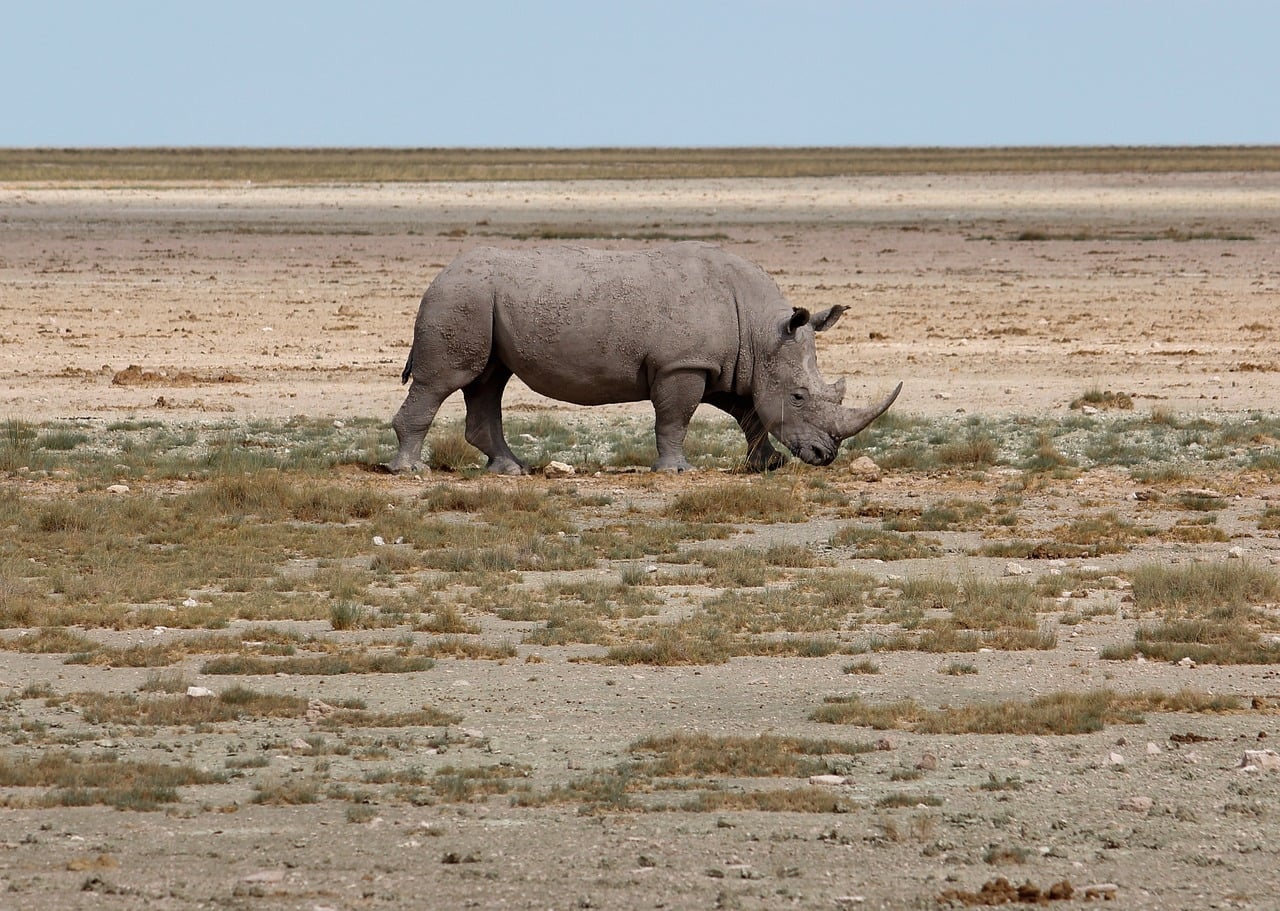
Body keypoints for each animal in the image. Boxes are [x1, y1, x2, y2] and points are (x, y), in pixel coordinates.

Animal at [386, 242, 900, 474]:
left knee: (488, 381)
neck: (762, 331)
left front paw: (766, 465)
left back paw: (512, 470)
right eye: (798, 397)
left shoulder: (722, 364)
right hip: (461, 298)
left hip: (478, 302)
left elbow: (749, 413)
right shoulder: (683, 364)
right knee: (446, 380)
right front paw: (676, 471)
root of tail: (436, 277)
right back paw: (411, 471)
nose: (825, 456)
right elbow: (675, 419)